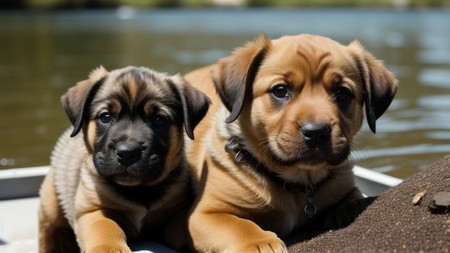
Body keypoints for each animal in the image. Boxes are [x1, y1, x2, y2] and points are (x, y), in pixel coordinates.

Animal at [37, 65, 210, 253]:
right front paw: (108, 248)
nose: (127, 153)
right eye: (105, 117)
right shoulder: (92, 210)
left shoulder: (175, 213)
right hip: (50, 214)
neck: (138, 190)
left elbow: (185, 229)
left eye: (159, 119)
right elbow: (105, 227)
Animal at [183, 34, 398, 253]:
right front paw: (259, 242)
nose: (316, 132)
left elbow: (353, 196)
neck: (298, 183)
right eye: (280, 91)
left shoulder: (345, 185)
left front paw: (350, 207)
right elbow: (239, 225)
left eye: (342, 93)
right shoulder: (204, 214)